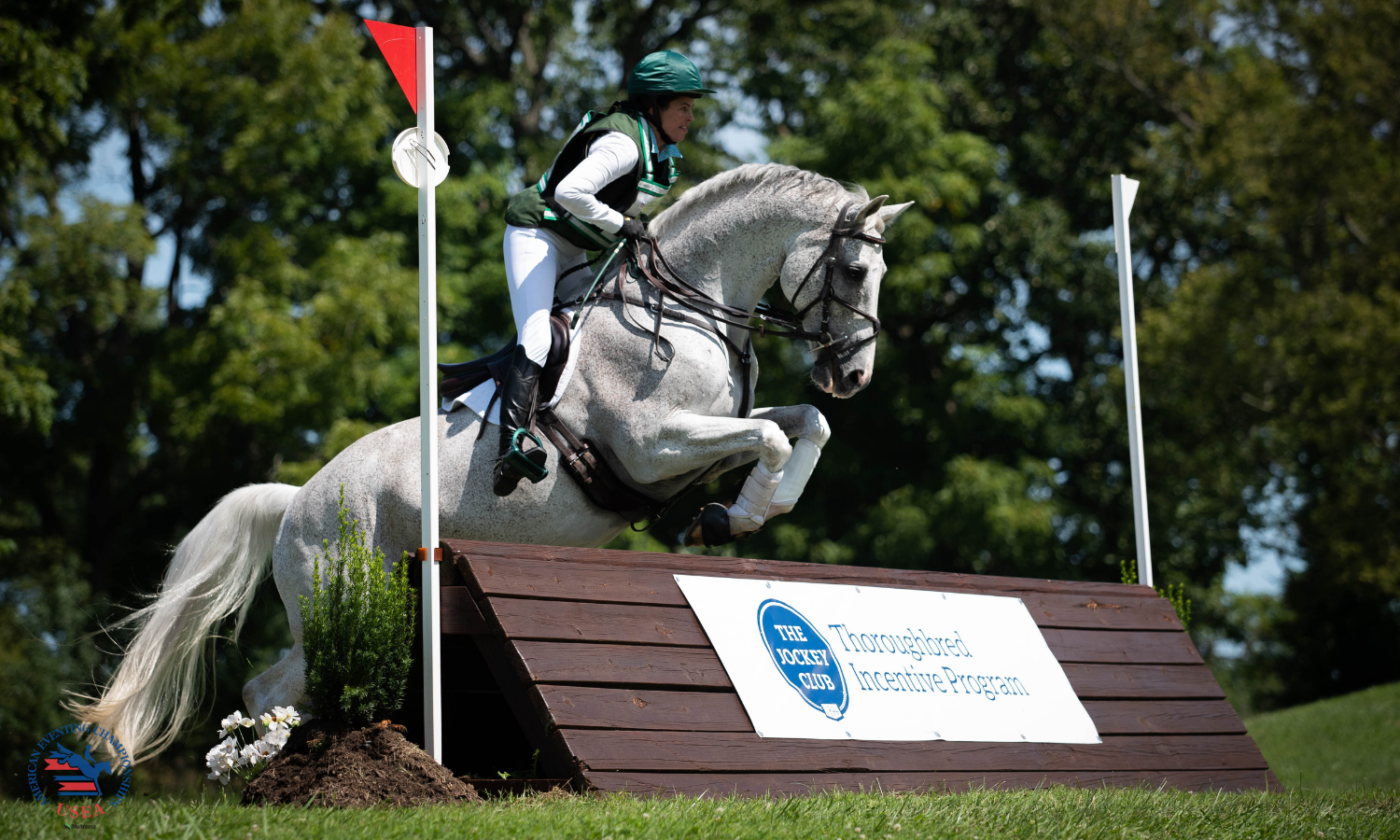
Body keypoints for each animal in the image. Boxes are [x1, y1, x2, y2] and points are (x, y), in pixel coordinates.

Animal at [71, 162, 912, 761]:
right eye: (851, 272)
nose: (854, 374)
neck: (685, 303)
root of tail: (300, 497)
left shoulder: (705, 432)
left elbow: (803, 427)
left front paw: (747, 509)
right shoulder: (654, 443)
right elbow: (773, 438)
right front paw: (732, 517)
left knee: (278, 684)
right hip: (337, 599)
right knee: (272, 685)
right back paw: (267, 774)